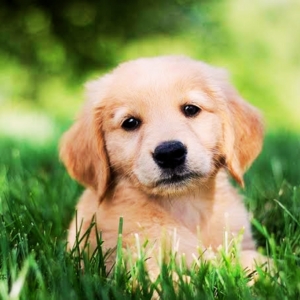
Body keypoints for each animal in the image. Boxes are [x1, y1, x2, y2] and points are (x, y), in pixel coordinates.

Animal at [59, 55, 266, 276]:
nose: (169, 153)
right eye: (130, 122)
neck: (183, 204)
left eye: (191, 109)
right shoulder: (140, 264)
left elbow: (250, 259)